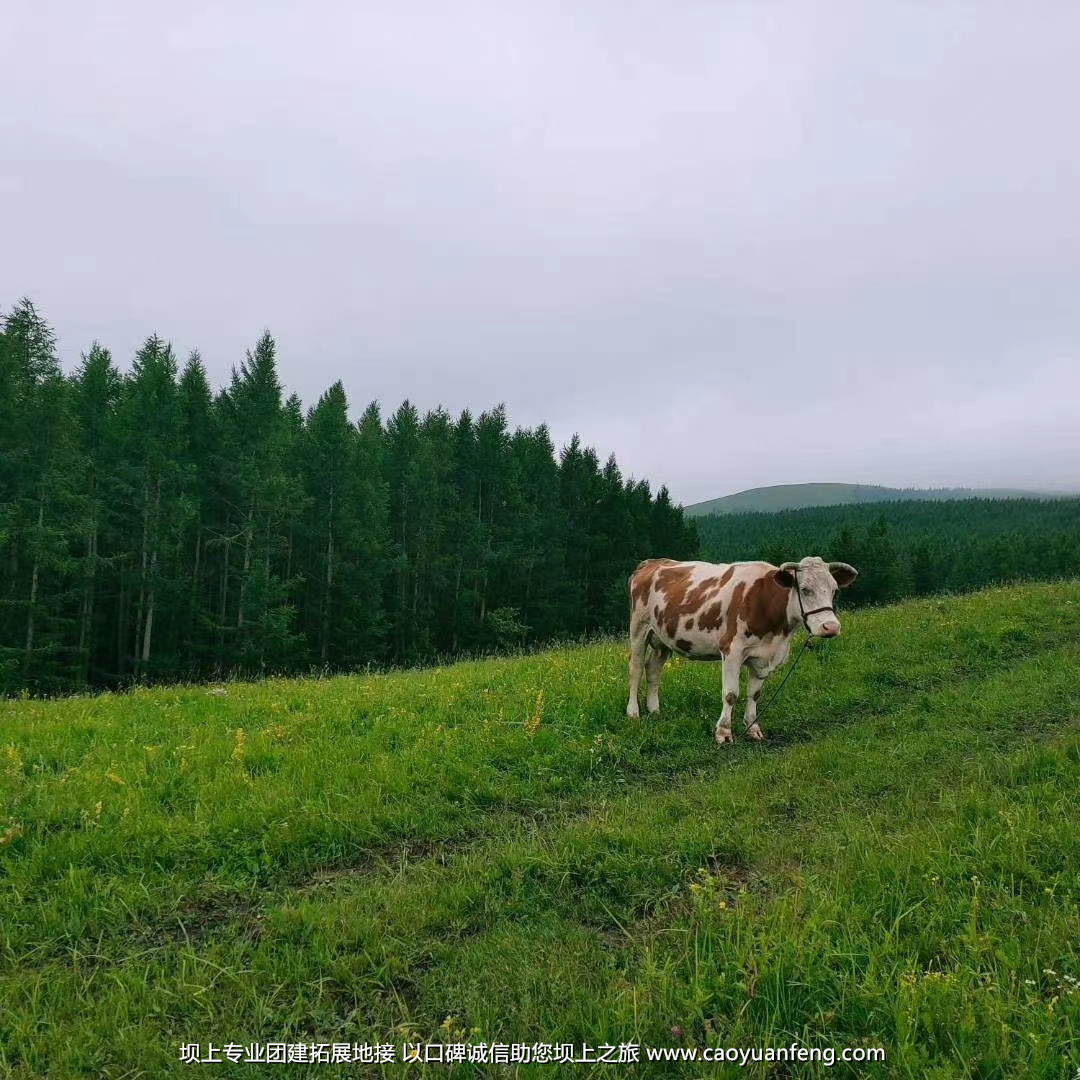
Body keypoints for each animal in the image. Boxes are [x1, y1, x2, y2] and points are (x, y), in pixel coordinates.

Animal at [630, 557, 855, 743]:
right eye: (806, 589)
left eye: (835, 590)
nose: (831, 627)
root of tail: (652, 562)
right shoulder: (731, 651)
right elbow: (731, 694)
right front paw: (723, 732)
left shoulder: (764, 657)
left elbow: (755, 694)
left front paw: (752, 728)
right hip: (639, 629)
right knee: (636, 669)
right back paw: (633, 712)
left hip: (662, 640)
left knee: (653, 670)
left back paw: (654, 710)